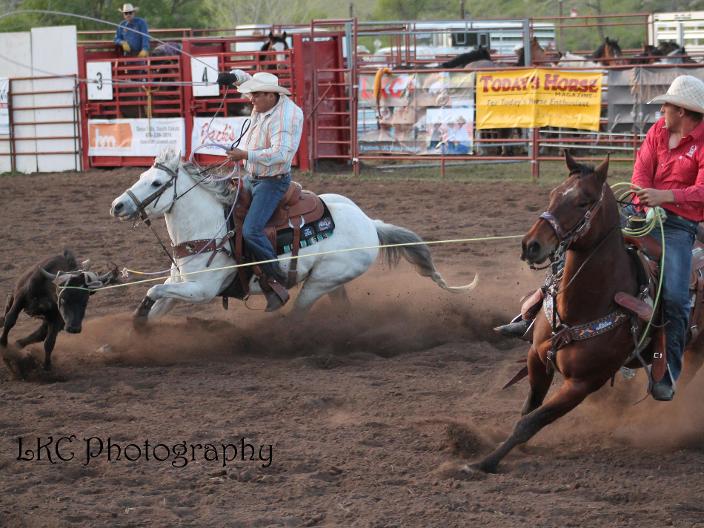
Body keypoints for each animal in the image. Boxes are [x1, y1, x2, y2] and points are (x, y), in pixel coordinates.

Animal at [107, 146, 476, 324]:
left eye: (156, 182)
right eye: (141, 176)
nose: (117, 205)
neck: (209, 228)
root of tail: (370, 224)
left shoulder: (202, 290)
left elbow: (153, 291)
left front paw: (137, 321)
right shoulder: (180, 285)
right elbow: (158, 300)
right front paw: (133, 332)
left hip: (320, 282)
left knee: (299, 312)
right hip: (333, 282)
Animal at [472, 151, 704, 472]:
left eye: (584, 202)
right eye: (553, 194)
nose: (530, 245)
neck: (580, 308)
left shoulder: (583, 384)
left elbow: (531, 422)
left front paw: (484, 462)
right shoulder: (536, 357)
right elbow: (528, 409)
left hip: (696, 350)